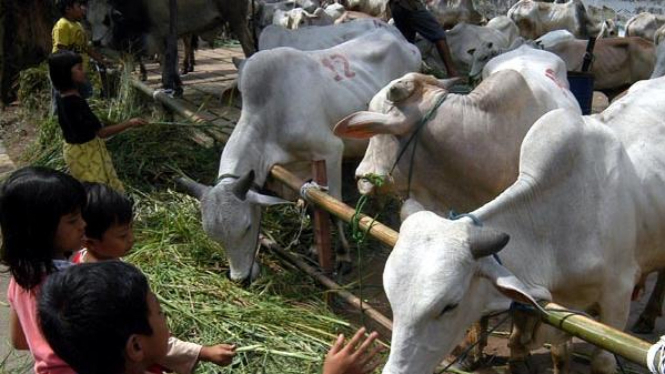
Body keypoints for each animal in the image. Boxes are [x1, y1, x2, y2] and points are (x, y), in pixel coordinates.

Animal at [180, 27, 420, 282]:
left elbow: (333, 207)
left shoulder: (331, 150)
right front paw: (315, 248)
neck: (271, 113)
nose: (241, 278)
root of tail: (402, 39)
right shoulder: (300, 167)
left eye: (247, 226)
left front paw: (343, 256)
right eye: (213, 236)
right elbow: (312, 204)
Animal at [378, 75, 665, 374]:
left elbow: (602, 360)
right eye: (392, 299)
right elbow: (552, 353)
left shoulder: (618, 294)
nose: (395, 370)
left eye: (449, 306)